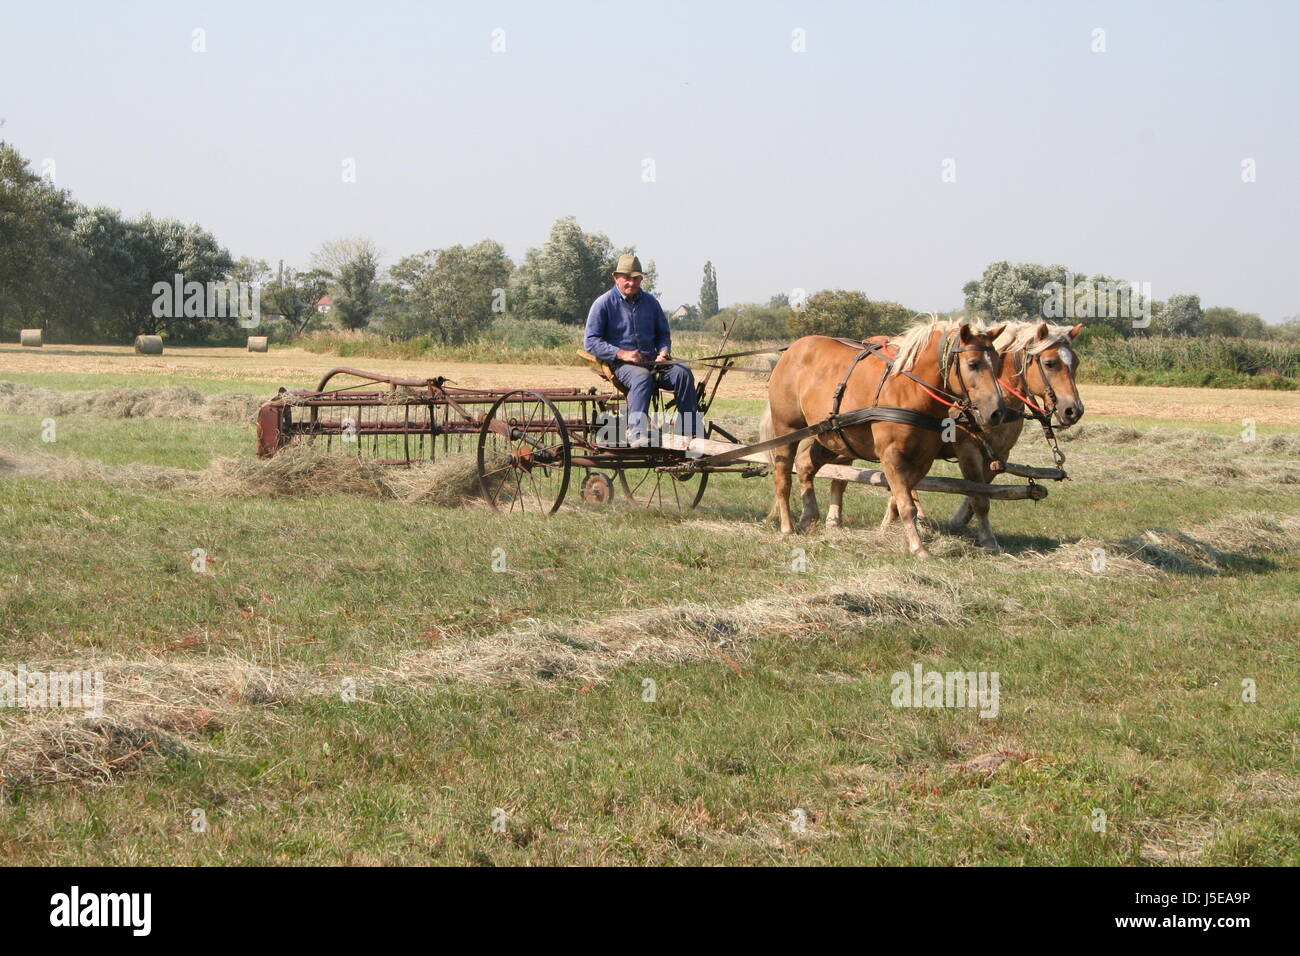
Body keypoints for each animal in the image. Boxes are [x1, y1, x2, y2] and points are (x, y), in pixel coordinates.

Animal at [764, 321, 1008, 556]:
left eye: (998, 362)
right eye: (973, 363)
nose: (997, 412)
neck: (910, 388)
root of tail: (792, 350)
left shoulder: (922, 459)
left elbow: (902, 499)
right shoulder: (891, 454)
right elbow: (907, 505)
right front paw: (919, 548)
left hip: (831, 436)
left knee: (805, 465)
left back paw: (808, 517)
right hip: (787, 428)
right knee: (782, 477)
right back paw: (787, 527)